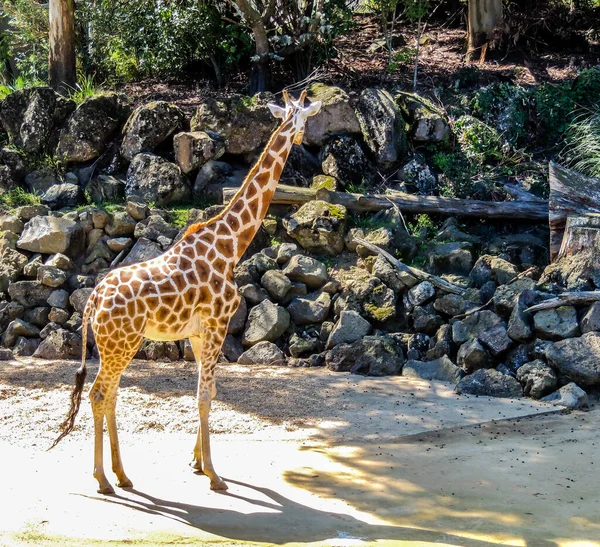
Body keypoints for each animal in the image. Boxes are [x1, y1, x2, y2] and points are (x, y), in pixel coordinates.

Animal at [50, 89, 324, 492]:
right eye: (306, 117)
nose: (305, 139)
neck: (231, 243)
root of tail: (93, 301)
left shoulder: (198, 333)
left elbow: (208, 392)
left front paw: (196, 461)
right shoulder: (217, 324)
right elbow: (203, 397)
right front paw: (214, 474)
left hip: (111, 345)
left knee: (110, 395)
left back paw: (121, 475)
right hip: (121, 343)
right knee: (100, 393)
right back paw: (102, 479)